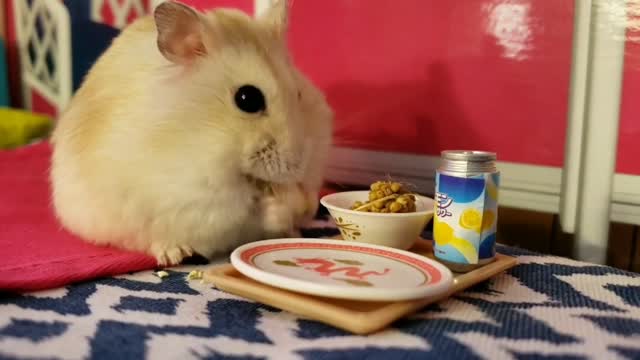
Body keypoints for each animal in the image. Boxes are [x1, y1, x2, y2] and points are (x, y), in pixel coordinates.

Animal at [48, 0, 336, 264]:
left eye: (298, 94)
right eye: (247, 98)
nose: (297, 166)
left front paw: (306, 204)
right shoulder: (193, 197)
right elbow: (243, 209)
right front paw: (284, 206)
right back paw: (175, 255)